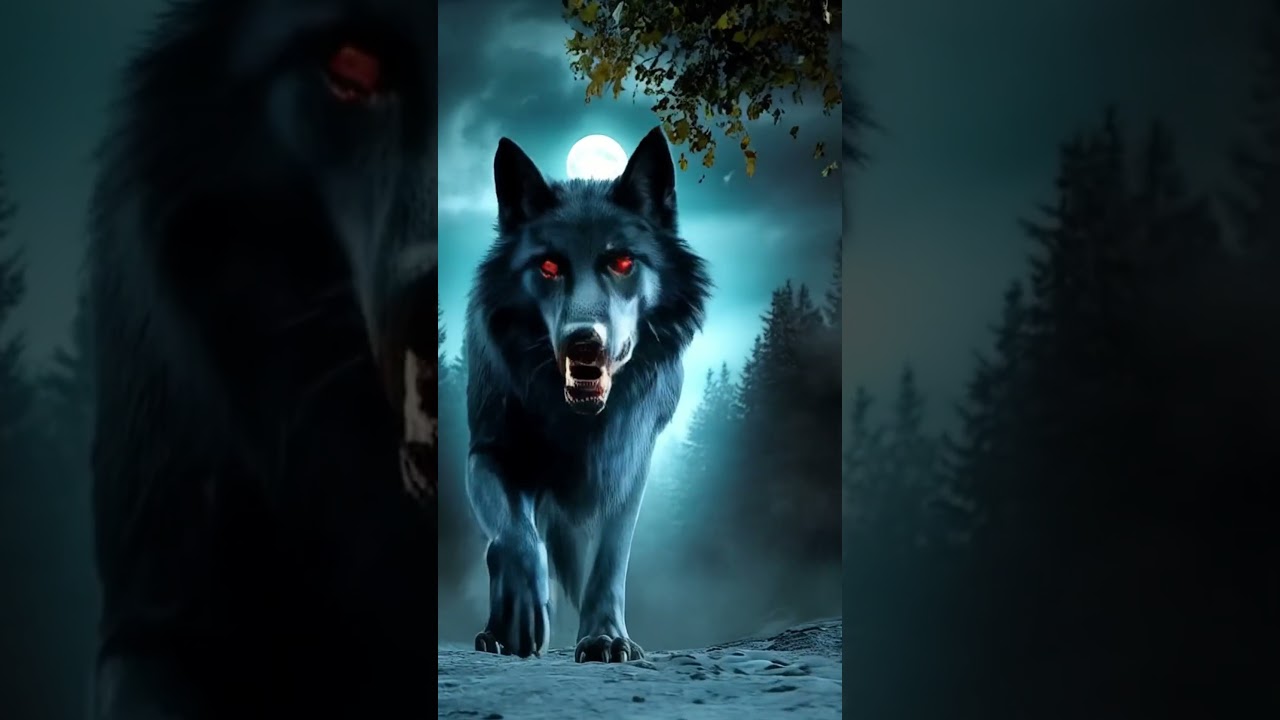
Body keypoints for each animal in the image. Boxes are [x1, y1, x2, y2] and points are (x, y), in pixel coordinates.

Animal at [464, 128, 711, 662]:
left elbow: (610, 560)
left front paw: (605, 637)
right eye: (549, 266)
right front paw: (522, 611)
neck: (576, 421)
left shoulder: (628, 464)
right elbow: (516, 536)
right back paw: (496, 630)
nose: (583, 341)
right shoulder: (489, 451)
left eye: (622, 261)